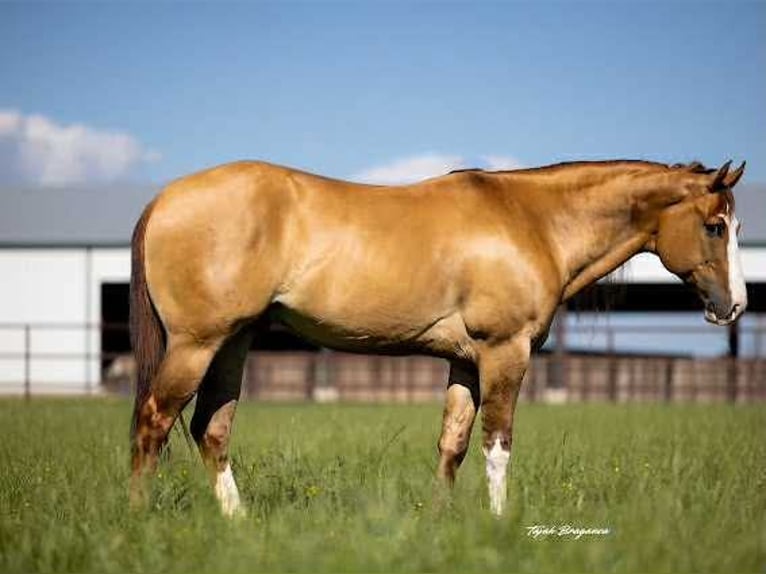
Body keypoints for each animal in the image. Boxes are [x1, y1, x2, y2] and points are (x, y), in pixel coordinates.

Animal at [129, 158, 747, 516]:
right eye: (715, 226)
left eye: (736, 226)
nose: (735, 305)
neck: (533, 220)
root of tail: (163, 199)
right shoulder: (504, 353)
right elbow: (498, 444)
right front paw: (500, 524)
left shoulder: (465, 362)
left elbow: (453, 444)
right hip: (197, 344)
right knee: (154, 422)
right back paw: (140, 518)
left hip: (233, 343)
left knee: (210, 429)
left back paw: (238, 523)